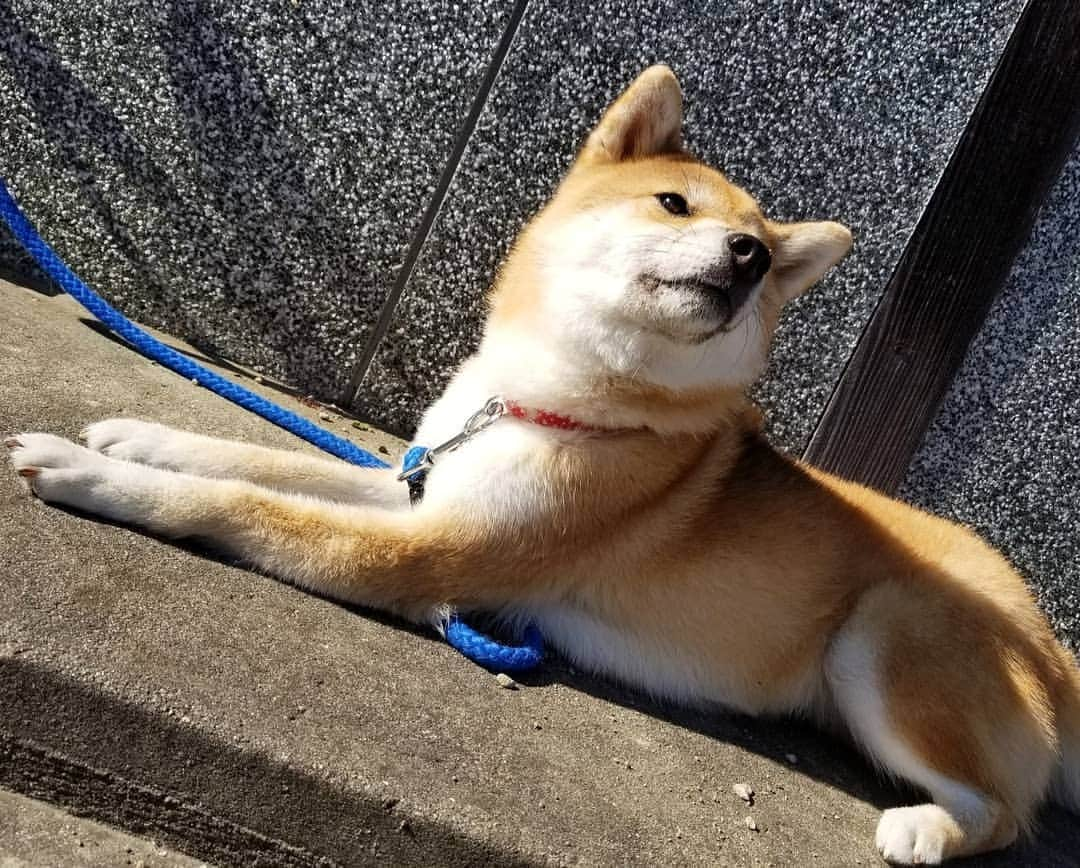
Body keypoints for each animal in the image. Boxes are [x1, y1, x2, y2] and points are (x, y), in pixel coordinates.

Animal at [8, 66, 1080, 859]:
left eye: (765, 260)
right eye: (674, 202)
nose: (744, 254)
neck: (553, 401)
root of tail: (1054, 647)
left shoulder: (430, 554)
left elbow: (235, 500)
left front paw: (92, 476)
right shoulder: (425, 483)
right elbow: (255, 455)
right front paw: (143, 437)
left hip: (884, 631)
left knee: (1008, 815)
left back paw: (926, 829)